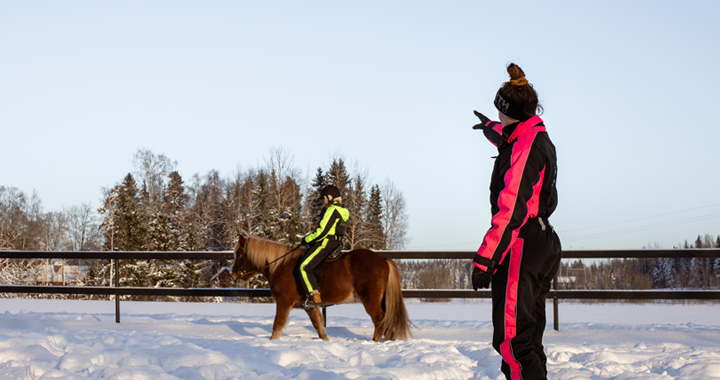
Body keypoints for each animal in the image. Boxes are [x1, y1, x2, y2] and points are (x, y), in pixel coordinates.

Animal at [231, 235, 410, 342]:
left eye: (239, 254)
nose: (233, 275)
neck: (280, 265)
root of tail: (383, 259)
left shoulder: (284, 302)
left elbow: (277, 324)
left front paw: (272, 342)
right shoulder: (309, 306)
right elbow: (318, 325)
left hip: (371, 299)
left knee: (379, 319)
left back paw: (375, 342)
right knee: (387, 320)